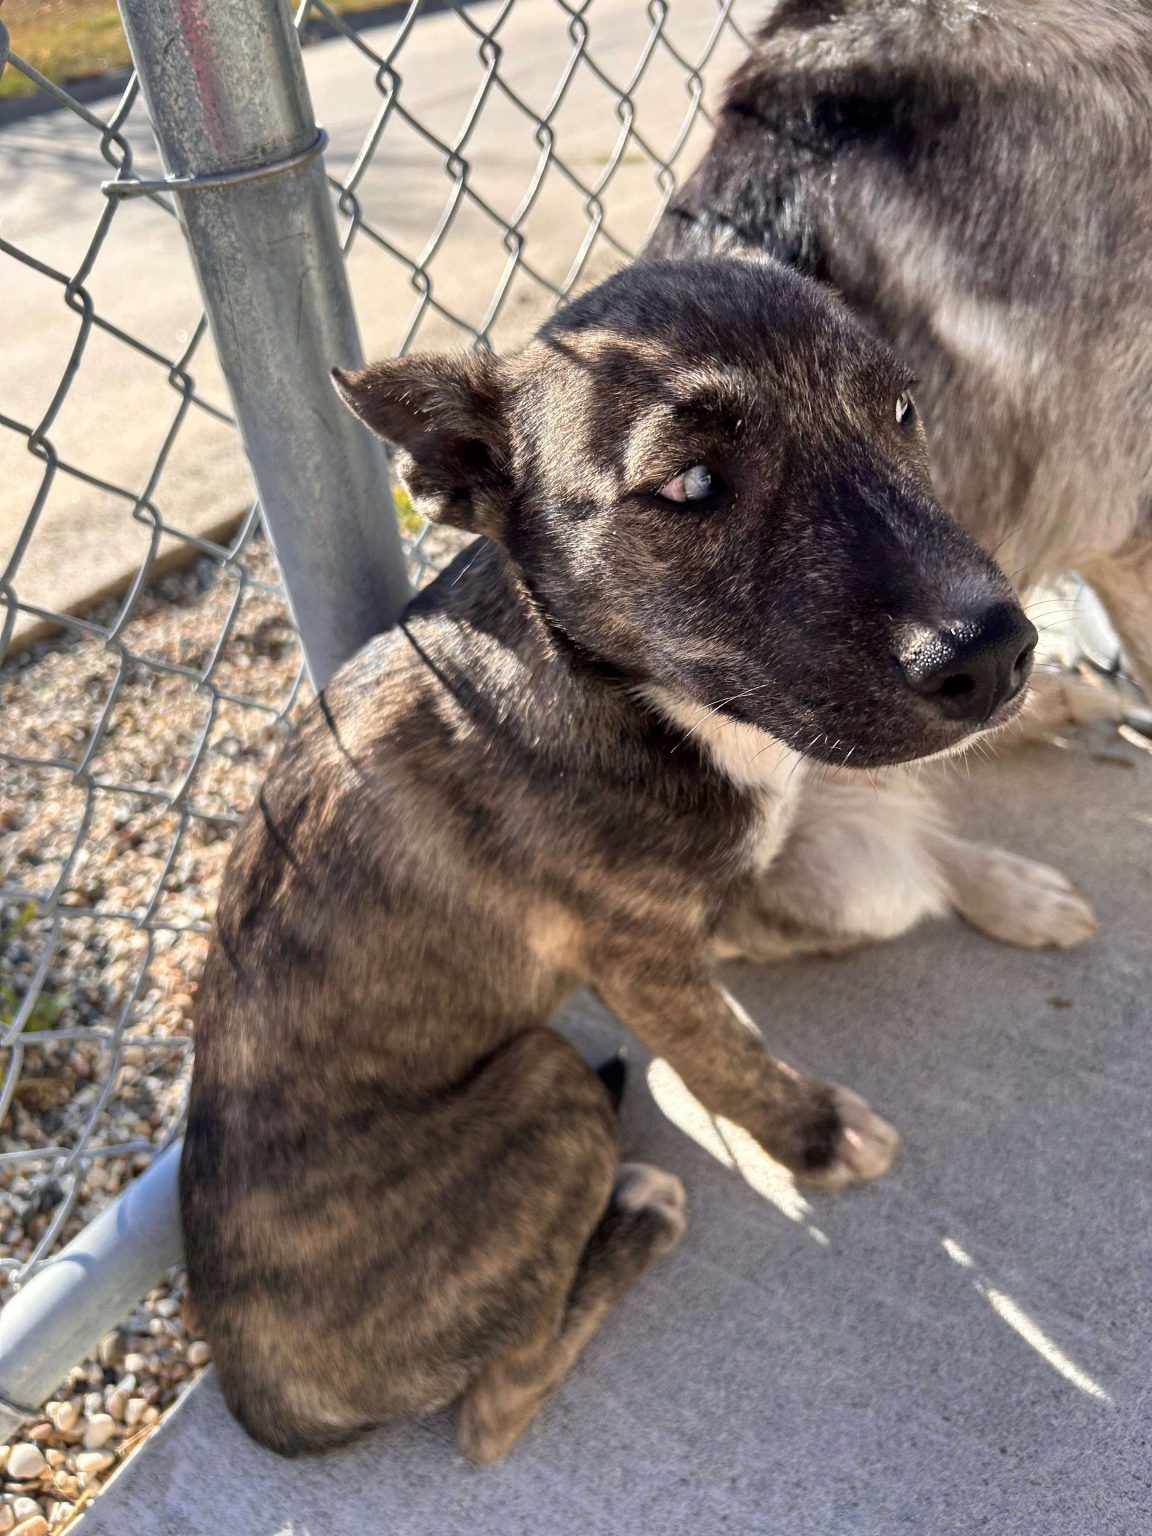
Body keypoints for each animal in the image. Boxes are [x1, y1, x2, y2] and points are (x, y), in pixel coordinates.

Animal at [183, 256, 1060, 1464]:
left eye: (901, 411)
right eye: (691, 485)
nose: (997, 654)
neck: (626, 693)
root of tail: (258, 1399)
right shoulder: (637, 955)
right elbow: (727, 1056)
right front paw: (812, 1134)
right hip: (545, 1087)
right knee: (492, 1414)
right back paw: (639, 1211)